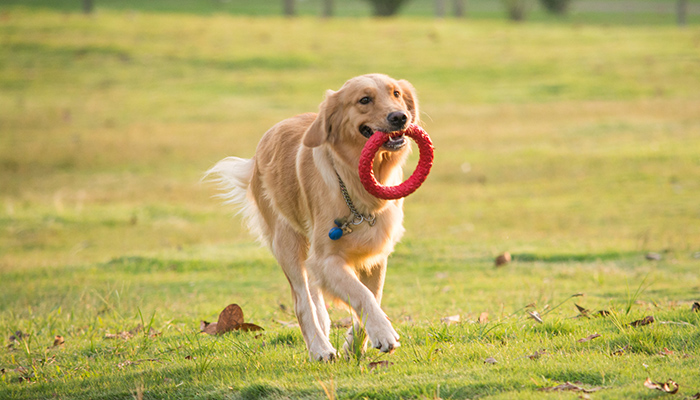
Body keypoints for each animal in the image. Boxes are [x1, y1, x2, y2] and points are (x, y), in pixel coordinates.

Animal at [205, 73, 418, 360]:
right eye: (364, 100)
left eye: (396, 94)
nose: (400, 117)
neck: (355, 183)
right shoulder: (326, 259)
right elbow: (361, 294)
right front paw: (383, 333)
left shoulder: (375, 255)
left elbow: (373, 295)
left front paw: (354, 344)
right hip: (287, 243)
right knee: (302, 302)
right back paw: (319, 348)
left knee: (316, 298)